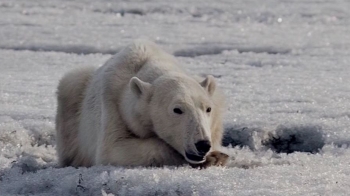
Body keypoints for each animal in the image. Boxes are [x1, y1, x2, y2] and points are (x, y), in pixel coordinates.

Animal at [56, 39, 228, 167]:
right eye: (177, 109)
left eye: (208, 109)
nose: (203, 144)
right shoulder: (112, 106)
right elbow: (113, 149)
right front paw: (214, 157)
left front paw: (217, 155)